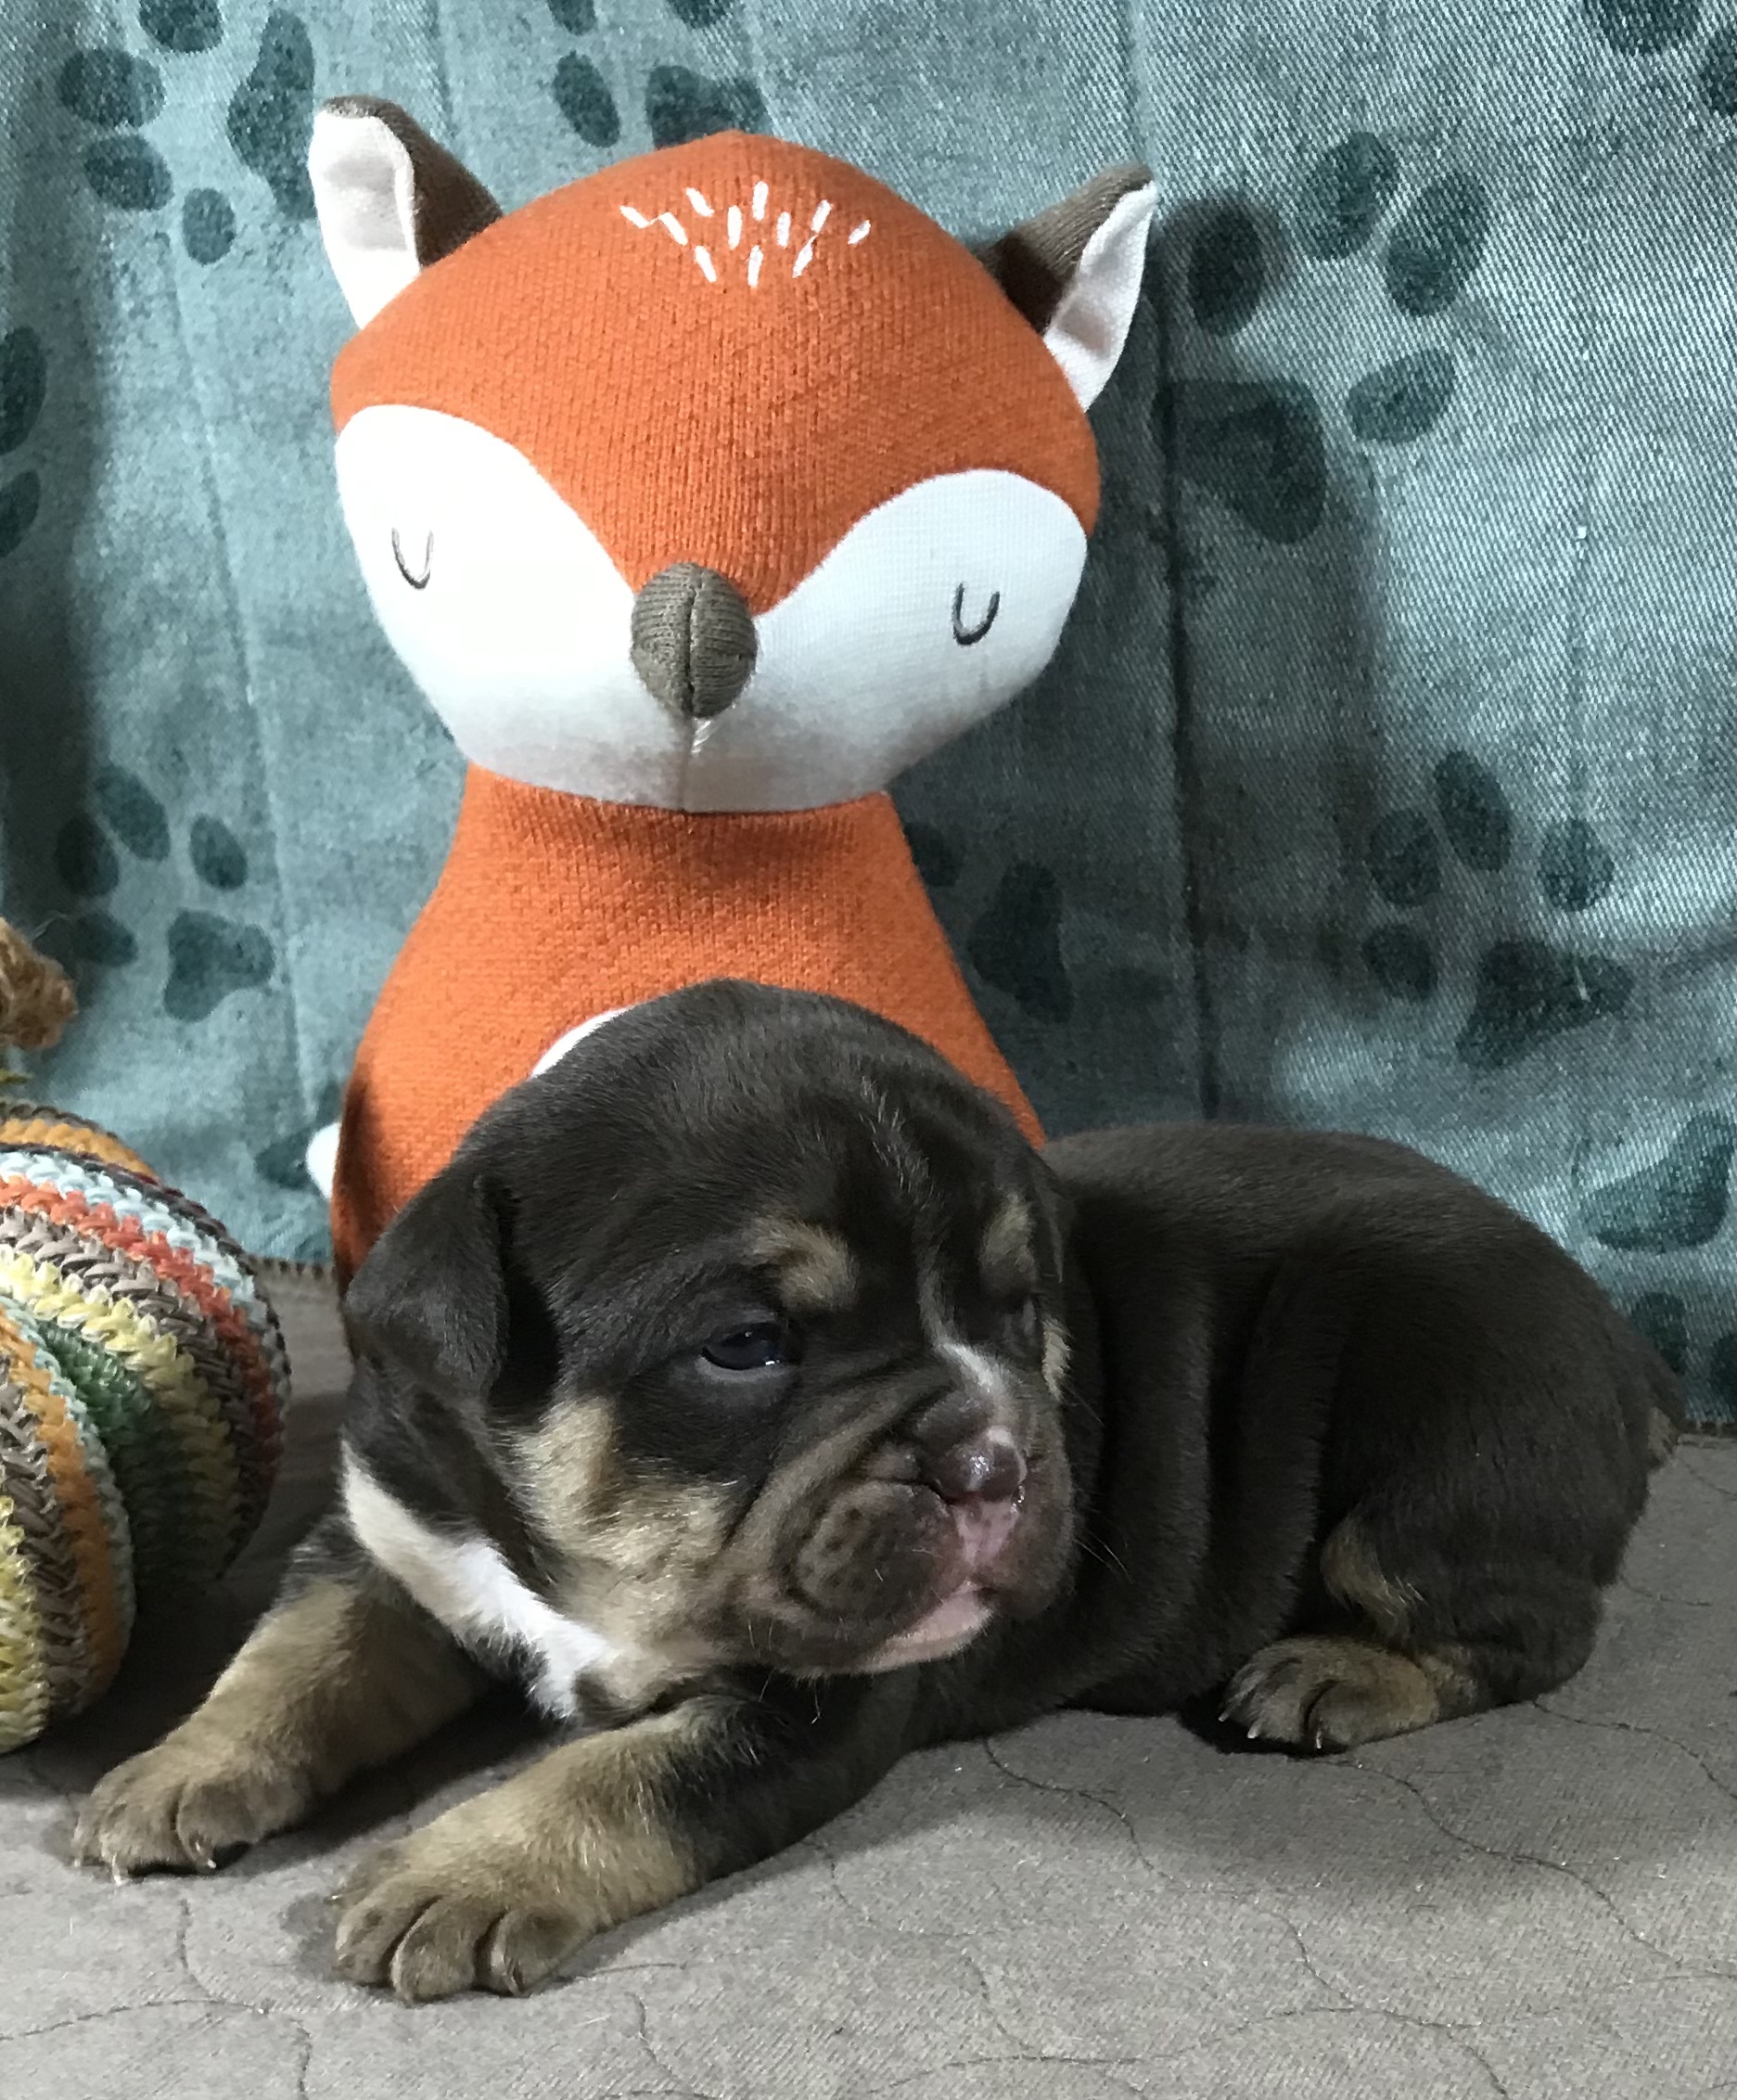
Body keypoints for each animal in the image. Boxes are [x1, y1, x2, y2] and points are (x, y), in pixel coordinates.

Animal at [74, 980, 1677, 2002]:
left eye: (1024, 1312)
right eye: (746, 1347)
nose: (999, 1455)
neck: (587, 1572)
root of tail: (1621, 1346)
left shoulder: (814, 1698)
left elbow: (616, 1776)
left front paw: (460, 1871)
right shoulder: (395, 1543)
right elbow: (293, 1660)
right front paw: (176, 1766)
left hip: (1439, 1451)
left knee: (1526, 1629)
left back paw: (1331, 1673)